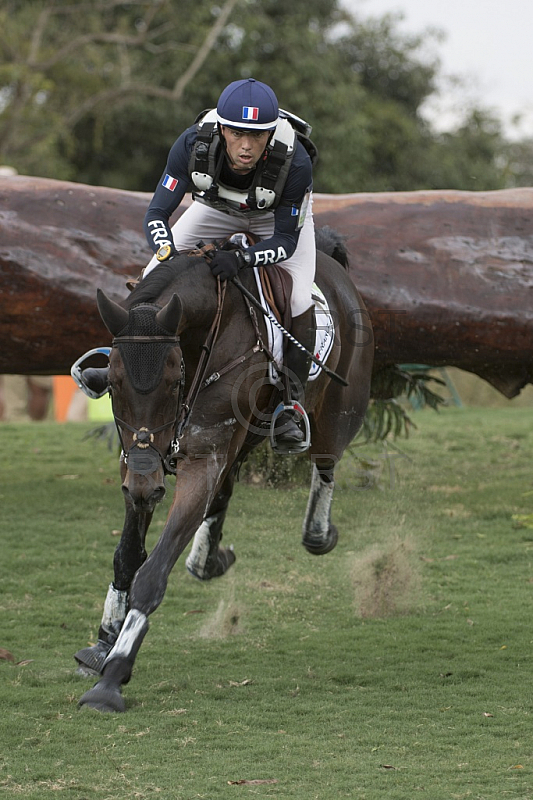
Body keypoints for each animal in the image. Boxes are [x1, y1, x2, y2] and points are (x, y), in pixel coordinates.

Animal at [76, 227, 374, 712]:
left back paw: (318, 533)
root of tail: (336, 268)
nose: (146, 483)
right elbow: (128, 556)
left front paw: (113, 677)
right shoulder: (140, 461)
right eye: (115, 384)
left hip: (337, 414)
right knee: (226, 490)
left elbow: (152, 573)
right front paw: (104, 642)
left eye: (173, 381)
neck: (201, 337)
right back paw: (208, 558)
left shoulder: (200, 461)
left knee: (325, 466)